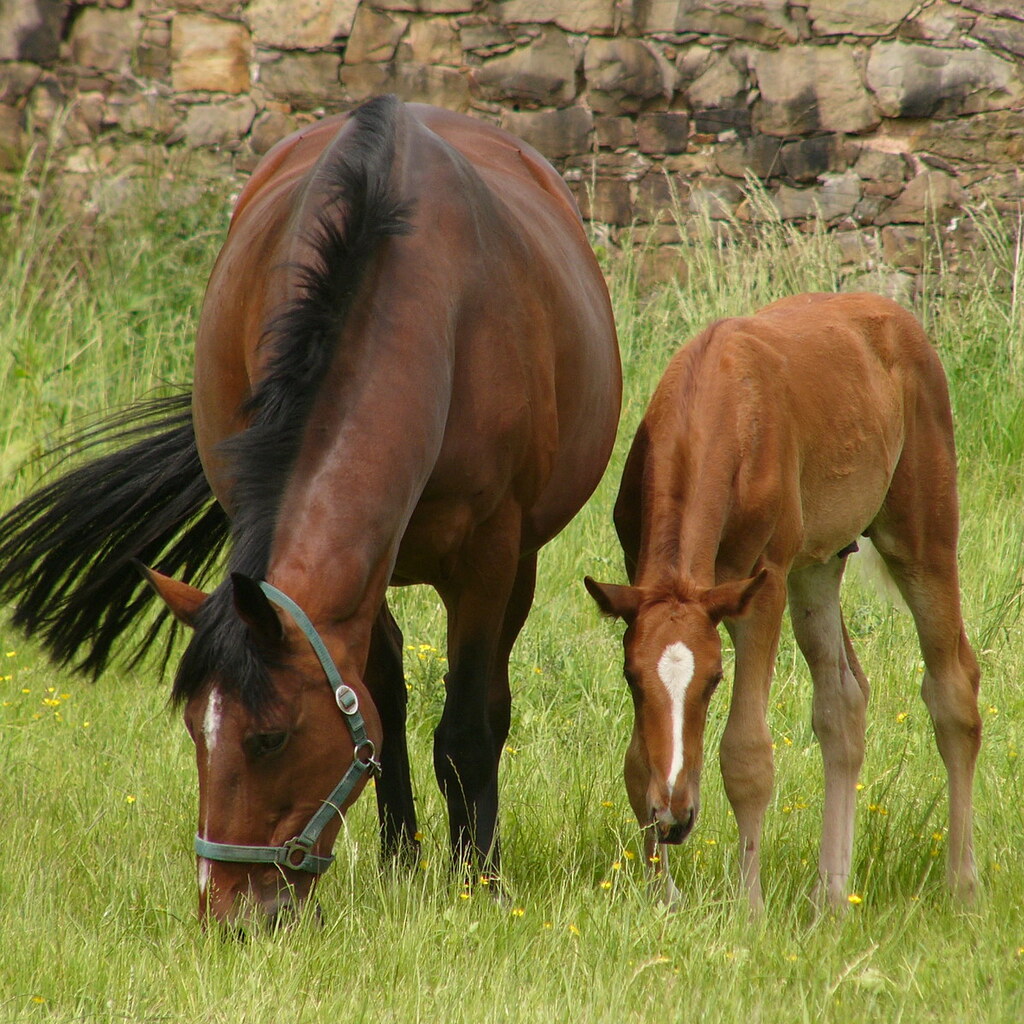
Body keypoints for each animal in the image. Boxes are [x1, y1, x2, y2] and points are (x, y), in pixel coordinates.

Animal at [0, 95, 621, 926]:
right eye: (195, 729)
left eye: (269, 739)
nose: (228, 913)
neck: (431, 302)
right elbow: (381, 704)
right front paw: (403, 863)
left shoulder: (489, 557)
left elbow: (466, 727)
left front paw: (476, 882)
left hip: (513, 563)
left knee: (487, 704)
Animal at [585, 292, 980, 911]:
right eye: (630, 677)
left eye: (714, 681)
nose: (674, 817)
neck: (718, 407)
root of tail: (898, 317)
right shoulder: (640, 582)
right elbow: (636, 760)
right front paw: (663, 897)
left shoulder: (761, 588)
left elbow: (747, 754)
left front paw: (749, 908)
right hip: (818, 565)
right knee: (843, 702)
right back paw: (830, 897)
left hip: (921, 536)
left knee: (954, 689)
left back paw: (961, 884)